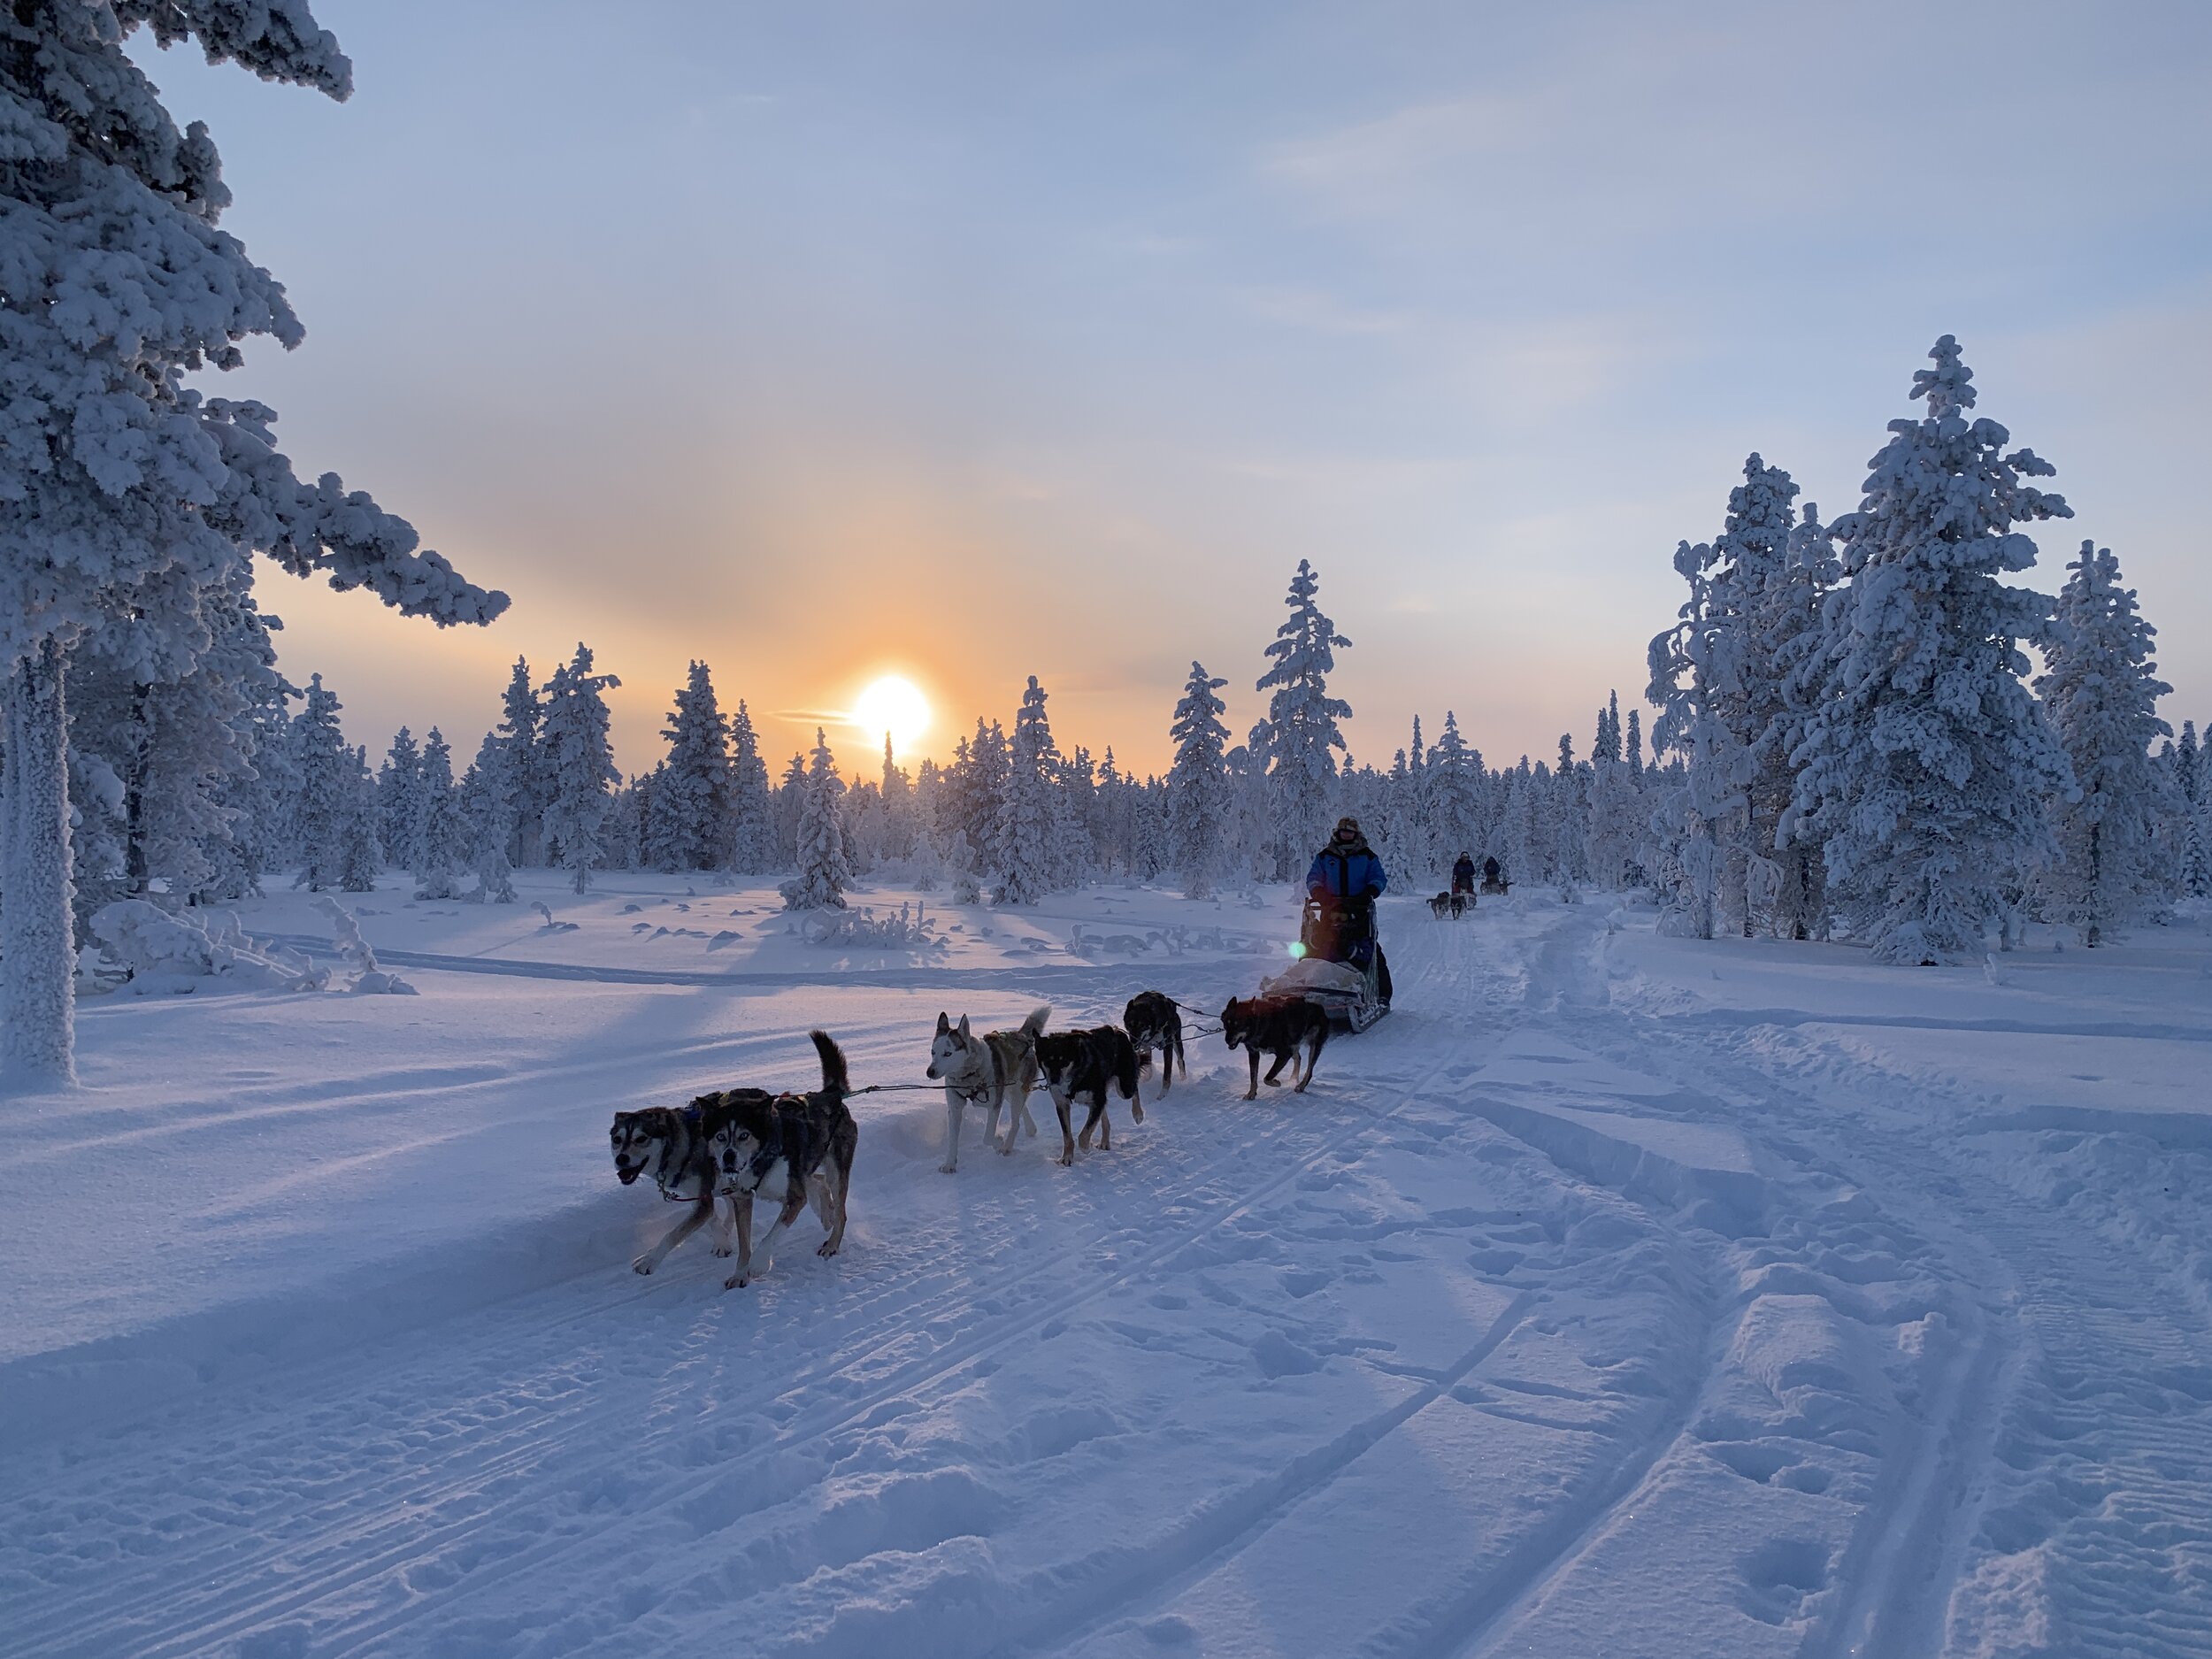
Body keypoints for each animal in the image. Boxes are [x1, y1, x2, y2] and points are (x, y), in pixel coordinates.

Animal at [611, 1093, 774, 1274]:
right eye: (617, 1139)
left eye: (641, 1138)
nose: (621, 1159)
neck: (680, 1147)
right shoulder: (698, 1195)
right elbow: (712, 1217)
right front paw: (722, 1240)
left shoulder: (703, 1196)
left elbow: (674, 1234)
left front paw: (649, 1260)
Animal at [708, 1035, 854, 1292]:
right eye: (720, 1136)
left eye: (744, 1135)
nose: (728, 1157)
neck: (761, 1159)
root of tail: (830, 1095)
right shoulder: (743, 1199)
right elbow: (744, 1244)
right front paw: (740, 1274)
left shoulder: (794, 1199)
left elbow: (772, 1235)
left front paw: (758, 1264)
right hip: (808, 1168)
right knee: (819, 1182)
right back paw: (825, 1213)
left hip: (837, 1170)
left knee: (840, 1211)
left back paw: (832, 1243)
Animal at [920, 1009, 1048, 1177]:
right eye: (933, 1052)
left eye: (948, 1054)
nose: (930, 1071)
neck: (969, 1076)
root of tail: (1021, 1035)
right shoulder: (955, 1108)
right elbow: (952, 1140)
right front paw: (950, 1164)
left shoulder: (994, 1105)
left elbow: (987, 1137)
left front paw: (998, 1141)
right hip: (1008, 1090)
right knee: (1022, 1107)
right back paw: (1031, 1129)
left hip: (1014, 1091)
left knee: (1016, 1122)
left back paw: (1007, 1146)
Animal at [1031, 1026, 1141, 1168]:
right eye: (1048, 1060)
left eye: (1064, 1061)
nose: (1054, 1080)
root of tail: (1118, 1031)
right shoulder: (1062, 1104)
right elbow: (1067, 1136)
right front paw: (1067, 1157)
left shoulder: (1097, 1099)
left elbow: (1084, 1135)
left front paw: (1086, 1147)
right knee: (1104, 1115)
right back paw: (1105, 1142)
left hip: (1124, 1088)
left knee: (1135, 1090)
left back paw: (1138, 1114)